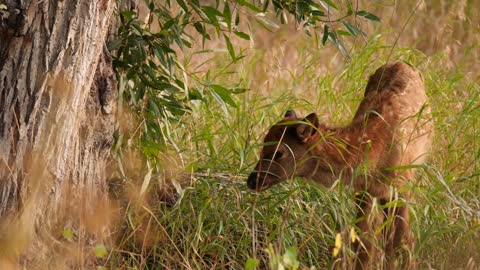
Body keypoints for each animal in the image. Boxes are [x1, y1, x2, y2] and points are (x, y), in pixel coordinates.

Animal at [249, 62, 434, 268]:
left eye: (279, 152)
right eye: (263, 143)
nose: (253, 180)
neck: (376, 151)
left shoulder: (402, 188)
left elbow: (402, 244)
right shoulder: (362, 190)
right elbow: (364, 245)